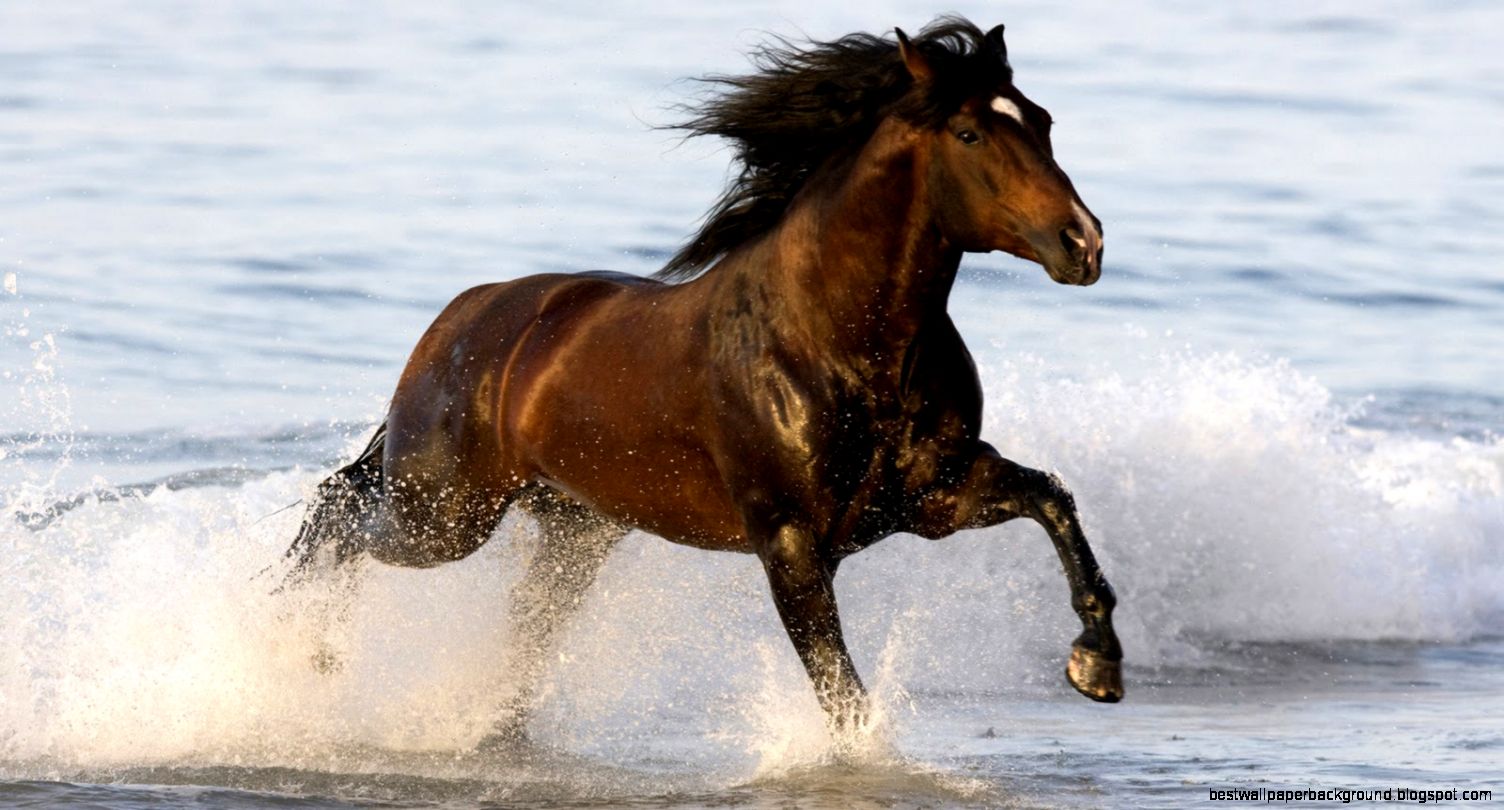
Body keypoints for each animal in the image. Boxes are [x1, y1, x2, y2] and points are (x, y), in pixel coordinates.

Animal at [284, 16, 1122, 739]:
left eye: (1043, 121)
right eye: (970, 132)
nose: (1083, 243)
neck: (837, 343)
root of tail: (462, 317)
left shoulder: (933, 497)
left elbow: (1052, 498)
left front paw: (1097, 666)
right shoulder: (790, 541)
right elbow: (841, 692)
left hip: (573, 528)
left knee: (517, 619)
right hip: (446, 511)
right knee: (338, 514)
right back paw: (309, 658)